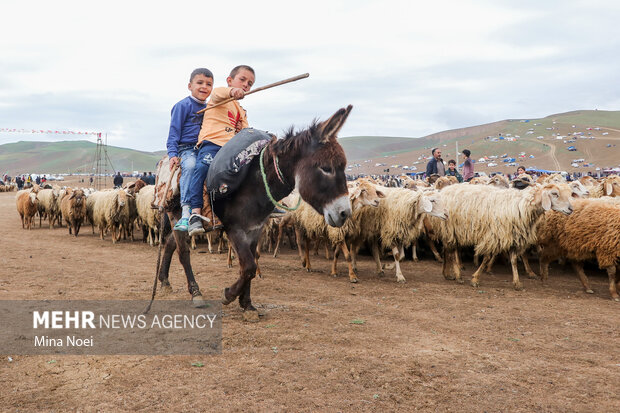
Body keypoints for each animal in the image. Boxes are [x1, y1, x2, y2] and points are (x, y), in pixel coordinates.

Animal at [434, 183, 572, 290]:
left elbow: (514, 260)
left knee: (447, 250)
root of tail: (445, 190)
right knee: (452, 252)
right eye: (554, 193)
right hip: (451, 228)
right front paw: (475, 279)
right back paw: (457, 275)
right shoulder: (494, 235)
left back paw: (447, 274)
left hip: (453, 230)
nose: (571, 209)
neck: (522, 206)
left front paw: (517, 282)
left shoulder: (513, 236)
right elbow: (486, 258)